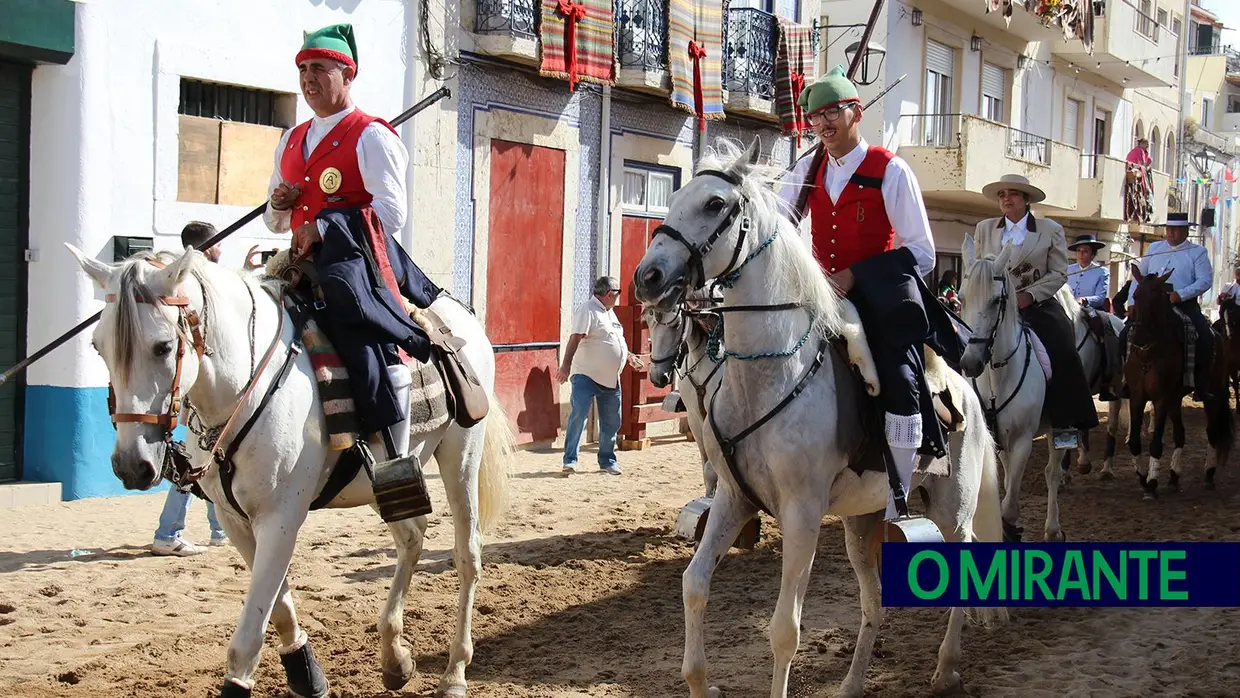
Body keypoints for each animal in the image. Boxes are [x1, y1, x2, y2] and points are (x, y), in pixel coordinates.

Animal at [66, 242, 513, 694]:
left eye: (161, 346)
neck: (244, 389)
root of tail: (456, 311)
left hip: (461, 458)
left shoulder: (280, 519)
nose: (131, 465)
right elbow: (277, 608)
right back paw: (395, 657)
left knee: (467, 554)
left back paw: (455, 671)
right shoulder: (235, 520)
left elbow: (246, 640)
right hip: (379, 483)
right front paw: (306, 671)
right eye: (98, 347)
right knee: (412, 537)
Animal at [629, 139, 1006, 698]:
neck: (767, 374)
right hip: (861, 521)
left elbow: (785, 628)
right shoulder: (734, 498)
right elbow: (694, 584)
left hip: (952, 507)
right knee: (874, 601)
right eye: (674, 198)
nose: (647, 276)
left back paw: (945, 668)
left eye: (715, 204)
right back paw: (852, 683)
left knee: (966, 563)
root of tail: (965, 388)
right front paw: (699, 681)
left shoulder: (802, 514)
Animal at [957, 242, 1076, 543]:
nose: (970, 363)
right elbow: (1004, 486)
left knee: (1052, 473)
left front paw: (1011, 528)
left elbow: (1009, 506)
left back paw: (1052, 528)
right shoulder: (995, 438)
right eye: (962, 298)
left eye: (996, 300)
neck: (998, 379)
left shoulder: (1023, 440)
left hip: (1057, 431)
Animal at [1125, 262, 1230, 495]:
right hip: (1175, 399)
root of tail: (1218, 336)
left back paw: (1209, 475)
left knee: (1212, 432)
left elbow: (1156, 443)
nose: (1139, 338)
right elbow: (1134, 442)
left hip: (1211, 395)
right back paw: (1173, 478)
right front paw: (1143, 478)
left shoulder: (1161, 398)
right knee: (1180, 435)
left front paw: (1151, 485)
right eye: (1135, 295)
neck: (1149, 354)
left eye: (1158, 296)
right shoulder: (1137, 397)